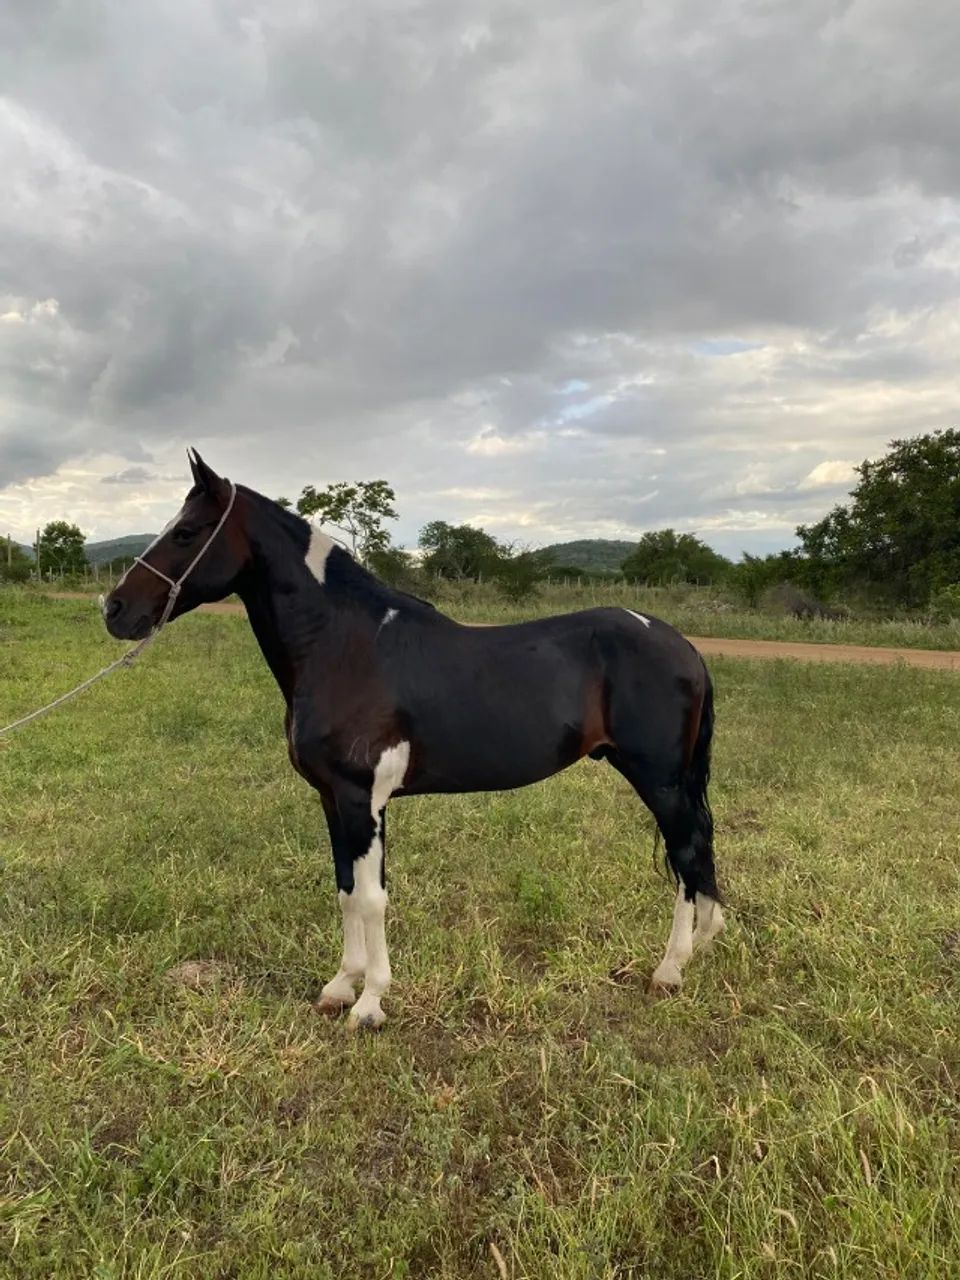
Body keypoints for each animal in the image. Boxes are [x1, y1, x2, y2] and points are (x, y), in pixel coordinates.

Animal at [103, 451, 724, 1029]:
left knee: (686, 856)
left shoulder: (363, 800)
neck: (344, 646)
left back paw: (670, 969)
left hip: (660, 781)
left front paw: (370, 1003)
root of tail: (683, 646)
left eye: (187, 532)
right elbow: (346, 890)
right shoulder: (333, 799)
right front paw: (340, 986)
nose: (115, 608)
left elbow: (371, 898)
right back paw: (704, 944)